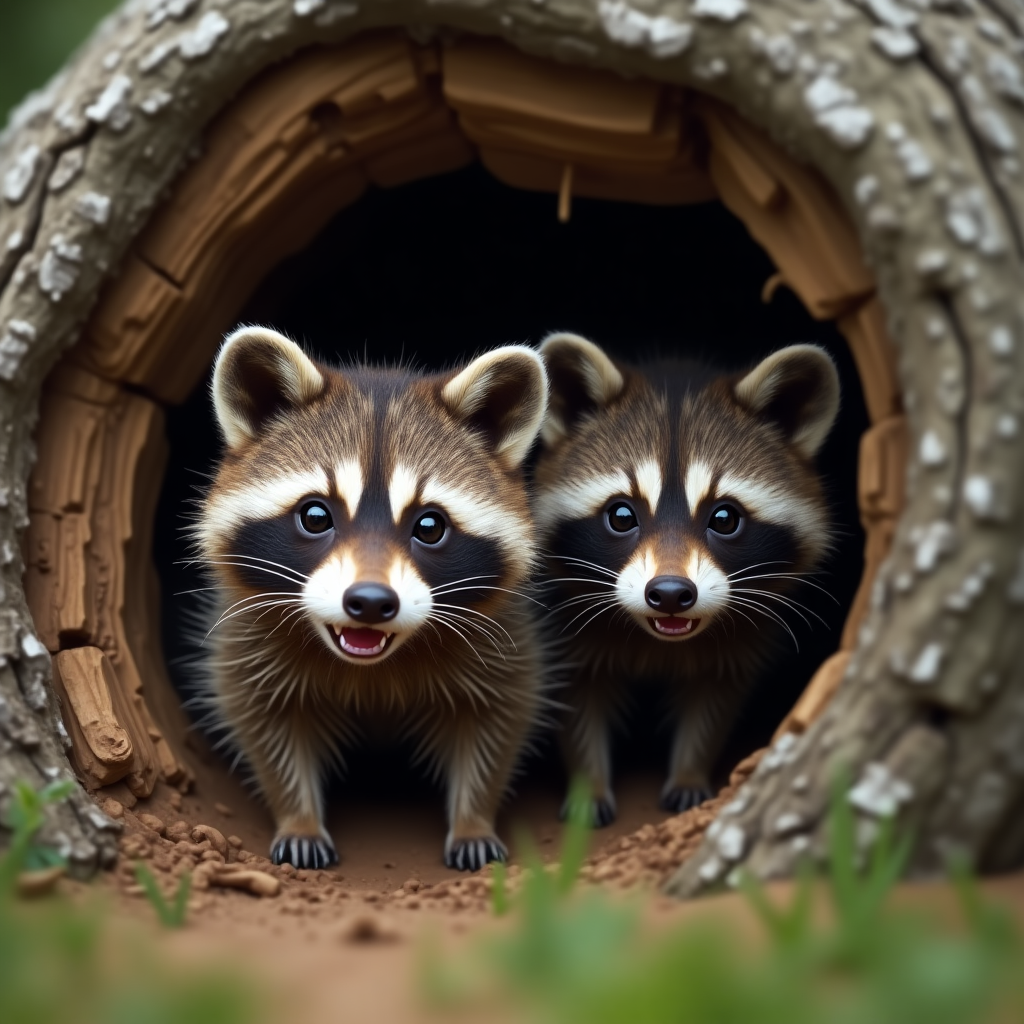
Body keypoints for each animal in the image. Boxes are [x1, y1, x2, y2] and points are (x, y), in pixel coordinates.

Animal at [193, 326, 549, 871]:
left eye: (430, 526)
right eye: (315, 516)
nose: (371, 602)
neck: (374, 666)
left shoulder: (502, 636)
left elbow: (498, 718)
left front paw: (473, 819)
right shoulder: (246, 632)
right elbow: (264, 719)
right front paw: (298, 816)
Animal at [534, 333, 840, 825]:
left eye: (725, 518)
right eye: (621, 516)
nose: (671, 594)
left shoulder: (745, 632)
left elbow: (713, 701)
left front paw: (690, 772)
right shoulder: (563, 621)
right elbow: (577, 701)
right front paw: (589, 780)